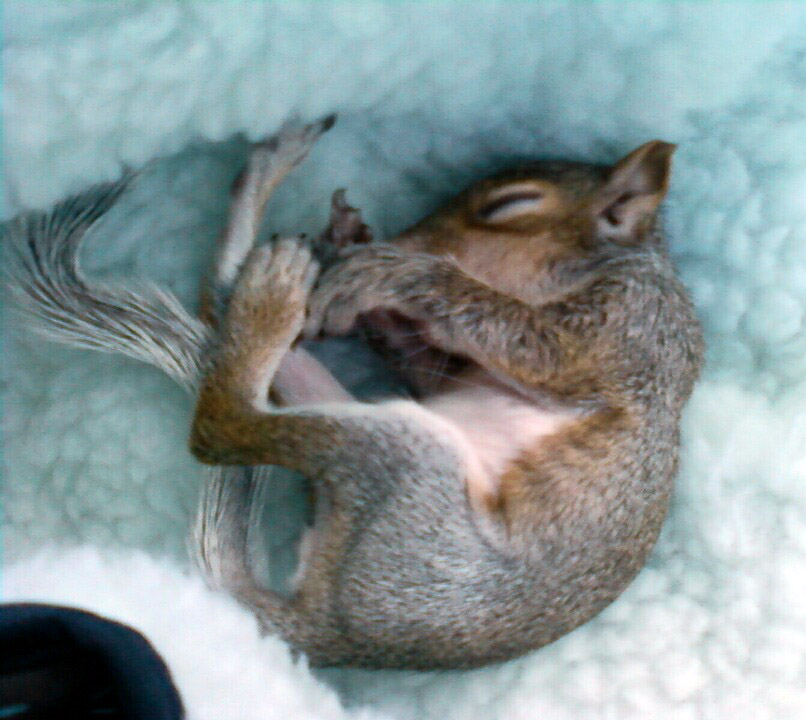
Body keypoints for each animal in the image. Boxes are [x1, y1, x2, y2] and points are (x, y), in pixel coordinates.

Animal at [4, 116, 703, 670]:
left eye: (511, 206)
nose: (402, 239)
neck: (617, 263)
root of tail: (335, 633)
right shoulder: (453, 370)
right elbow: (426, 360)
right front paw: (357, 258)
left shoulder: (632, 330)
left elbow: (521, 332)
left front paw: (391, 270)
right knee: (218, 307)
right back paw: (273, 197)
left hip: (407, 471)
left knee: (220, 426)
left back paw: (270, 290)